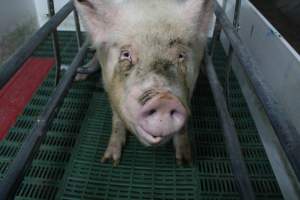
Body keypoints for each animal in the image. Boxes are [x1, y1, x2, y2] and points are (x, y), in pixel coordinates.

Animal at [74, 0, 213, 165]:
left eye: (180, 55)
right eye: (126, 54)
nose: (164, 100)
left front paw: (184, 160)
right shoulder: (109, 85)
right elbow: (117, 119)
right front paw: (110, 160)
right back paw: (79, 75)